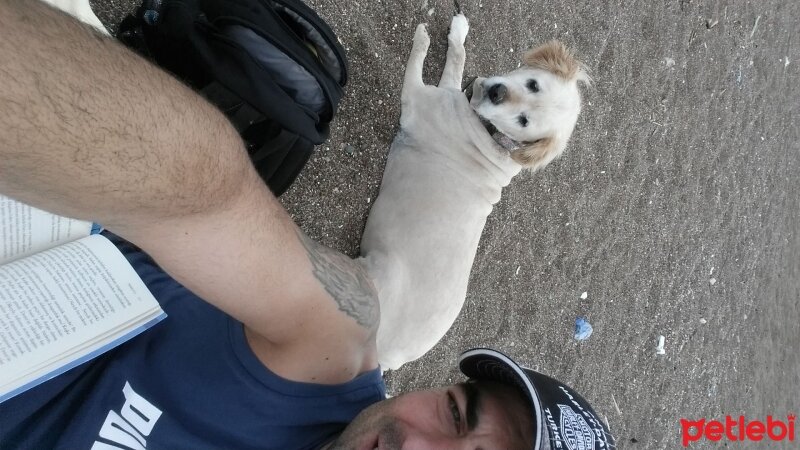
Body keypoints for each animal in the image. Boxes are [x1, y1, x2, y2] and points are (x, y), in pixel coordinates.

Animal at [360, 15, 592, 370]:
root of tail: (389, 360)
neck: (492, 134)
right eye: (533, 84)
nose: (497, 92)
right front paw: (459, 31)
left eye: (523, 122)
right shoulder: (451, 90)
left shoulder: (418, 96)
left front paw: (423, 38)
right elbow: (459, 58)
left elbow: (427, 60)